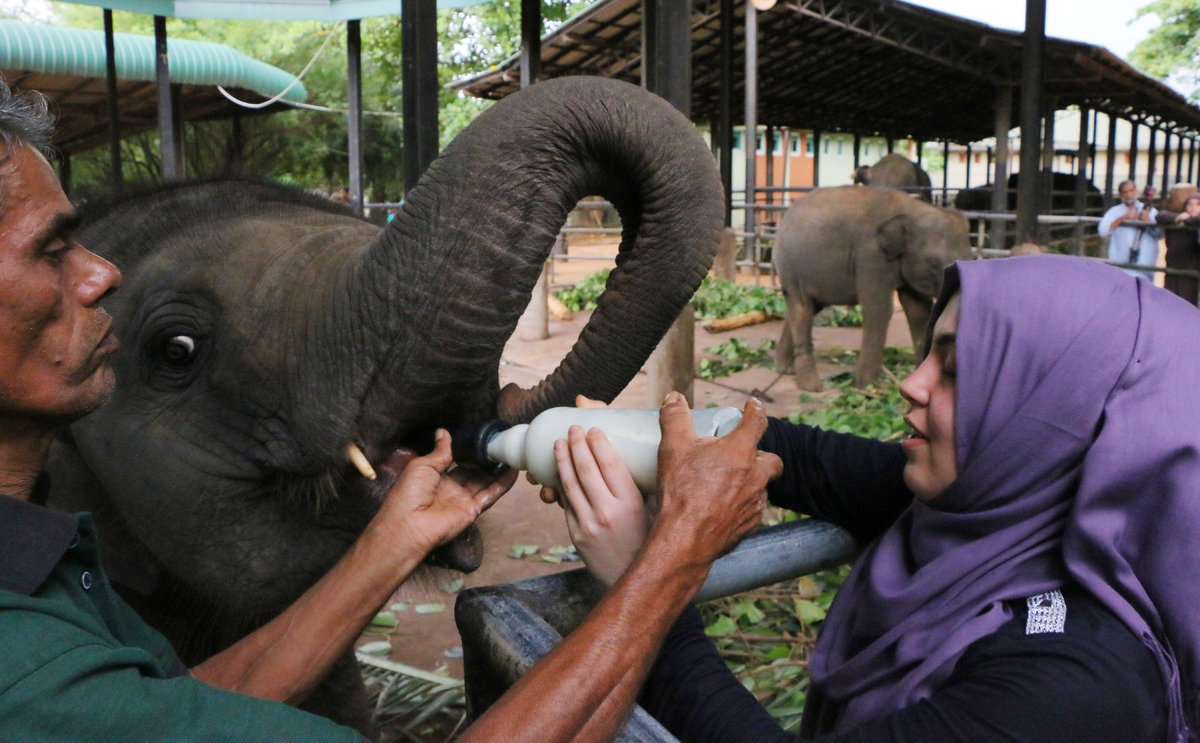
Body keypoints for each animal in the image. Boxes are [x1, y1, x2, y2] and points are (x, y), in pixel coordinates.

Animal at [772, 186, 969, 388]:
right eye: (934, 263)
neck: (911, 210)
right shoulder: (871, 254)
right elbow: (879, 309)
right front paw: (869, 387)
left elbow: (919, 311)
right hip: (790, 266)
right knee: (802, 308)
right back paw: (812, 386)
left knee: (808, 308)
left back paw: (786, 369)